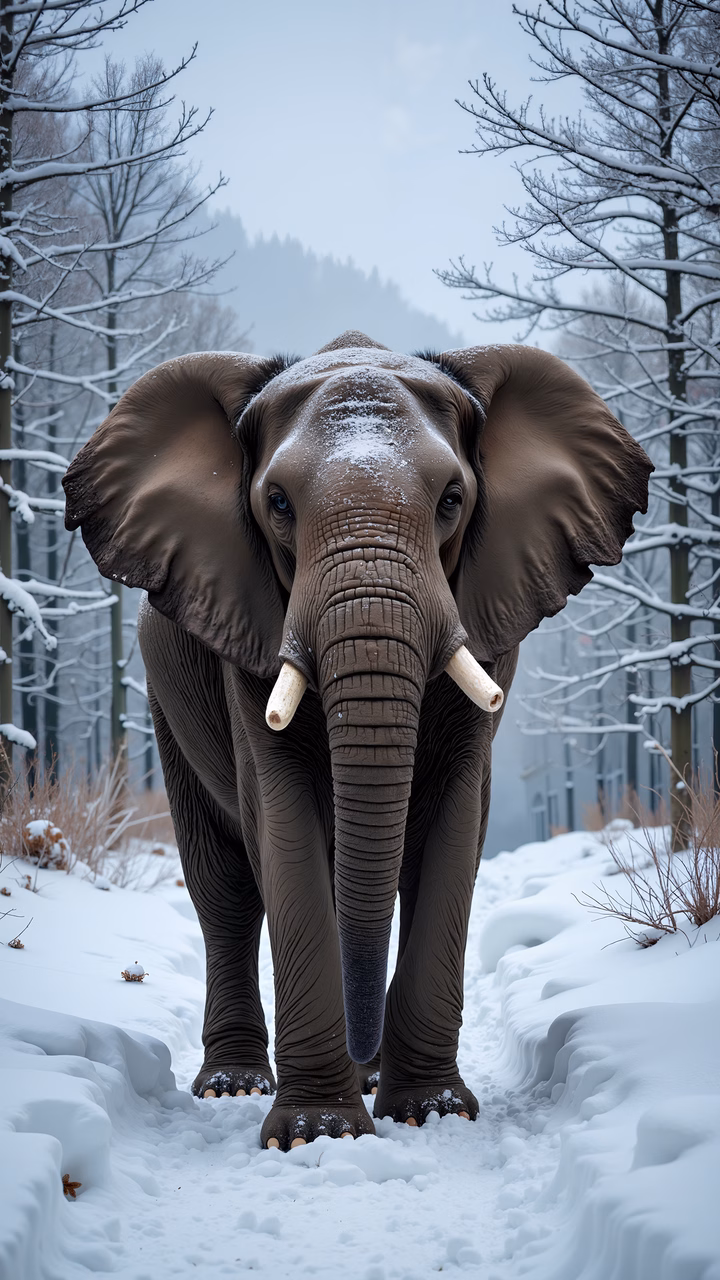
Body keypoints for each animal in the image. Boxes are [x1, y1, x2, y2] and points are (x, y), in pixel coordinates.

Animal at [63, 330, 652, 1151]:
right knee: (225, 889)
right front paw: (318, 1134)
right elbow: (281, 823)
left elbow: (452, 826)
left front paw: (432, 1113)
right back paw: (234, 1085)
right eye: (277, 503)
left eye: (452, 500)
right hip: (163, 698)